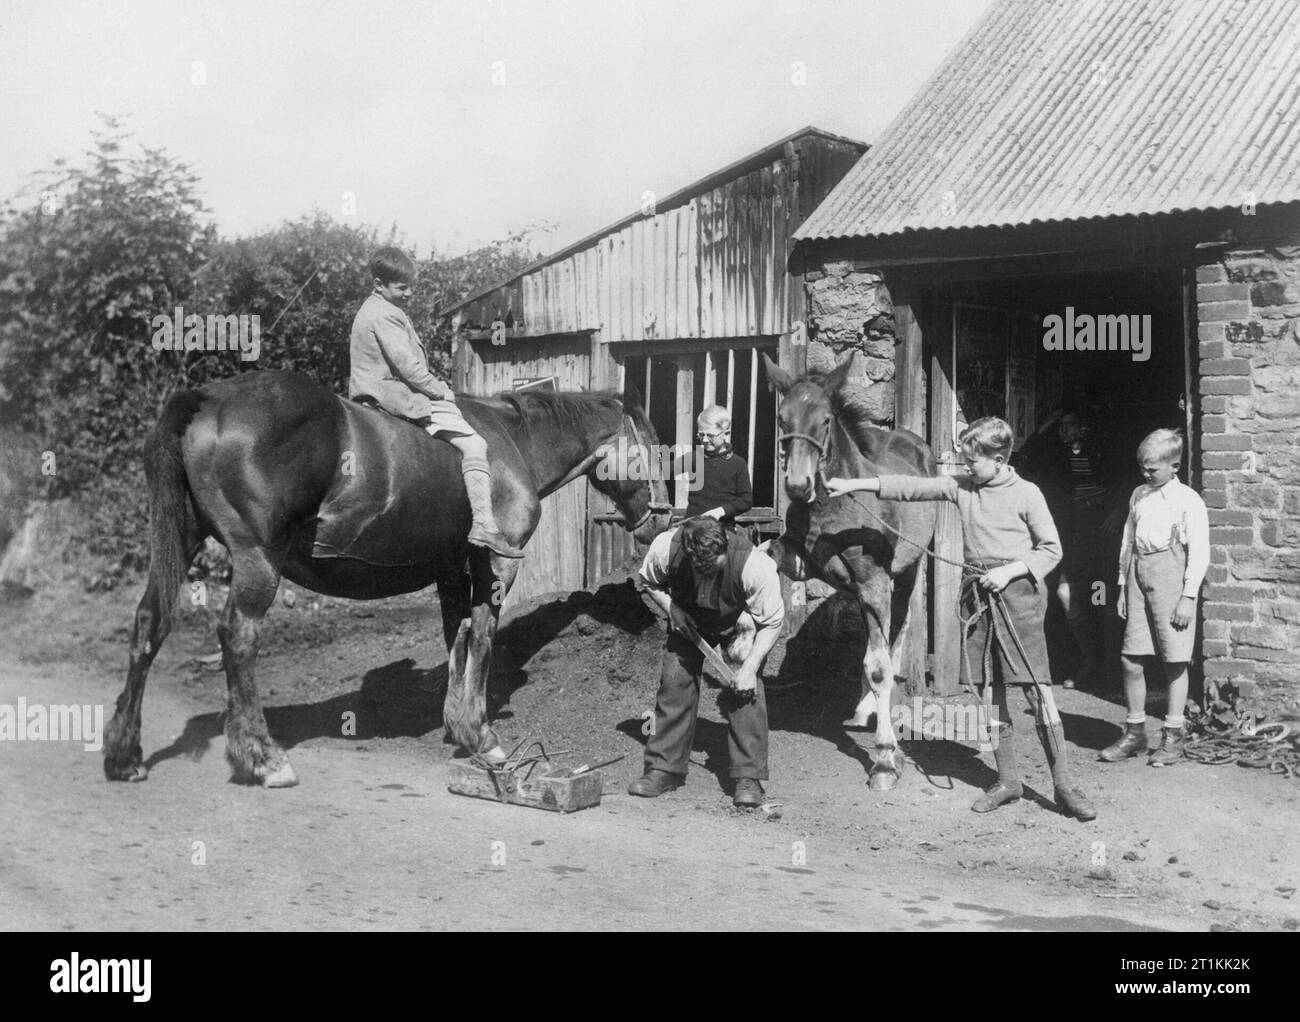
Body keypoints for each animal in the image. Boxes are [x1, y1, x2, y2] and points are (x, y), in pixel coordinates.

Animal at [104, 369, 670, 785]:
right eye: (655, 450)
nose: (662, 520)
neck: (512, 443)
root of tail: (208, 398)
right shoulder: (496, 563)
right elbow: (483, 636)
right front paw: (481, 735)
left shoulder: (450, 566)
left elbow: (456, 635)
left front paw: (455, 724)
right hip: (257, 559)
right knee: (238, 636)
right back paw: (262, 757)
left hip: (181, 539)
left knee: (149, 623)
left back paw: (123, 753)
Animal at [759, 353, 935, 790]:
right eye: (782, 419)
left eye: (824, 420)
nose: (798, 485)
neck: (834, 505)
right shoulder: (800, 561)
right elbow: (764, 554)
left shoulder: (876, 583)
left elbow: (880, 665)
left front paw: (886, 760)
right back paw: (863, 707)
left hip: (906, 573)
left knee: (896, 635)